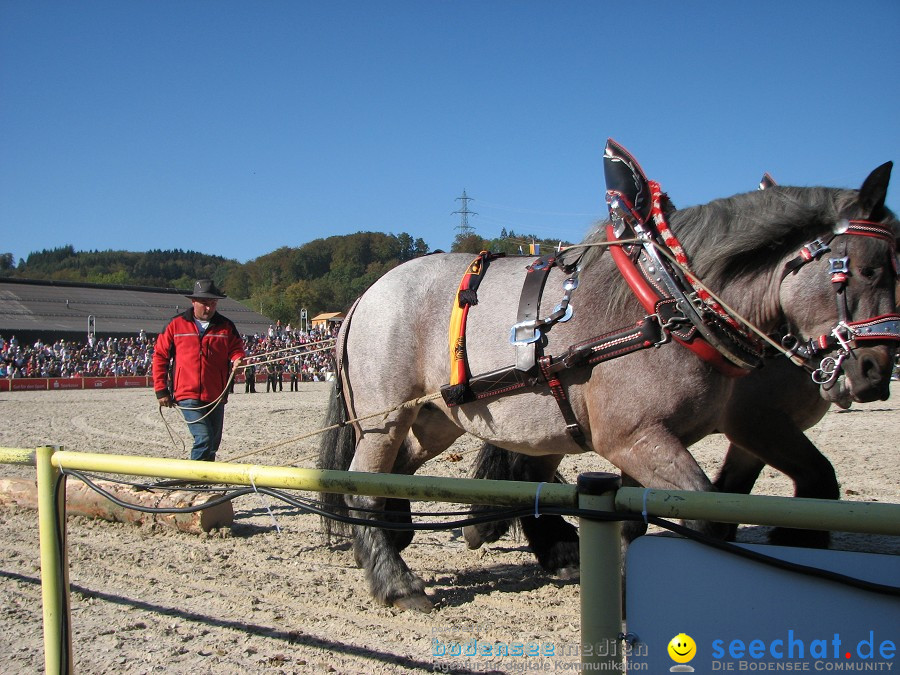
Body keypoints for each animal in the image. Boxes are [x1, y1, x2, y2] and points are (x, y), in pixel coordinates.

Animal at [318, 144, 900, 612]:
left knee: (401, 473)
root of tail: (367, 295)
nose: (877, 369)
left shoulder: (669, 438)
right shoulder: (645, 435)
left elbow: (644, 519)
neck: (668, 302)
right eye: (869, 269)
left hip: (442, 419)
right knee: (362, 488)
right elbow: (707, 513)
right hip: (386, 418)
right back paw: (397, 581)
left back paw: (403, 537)